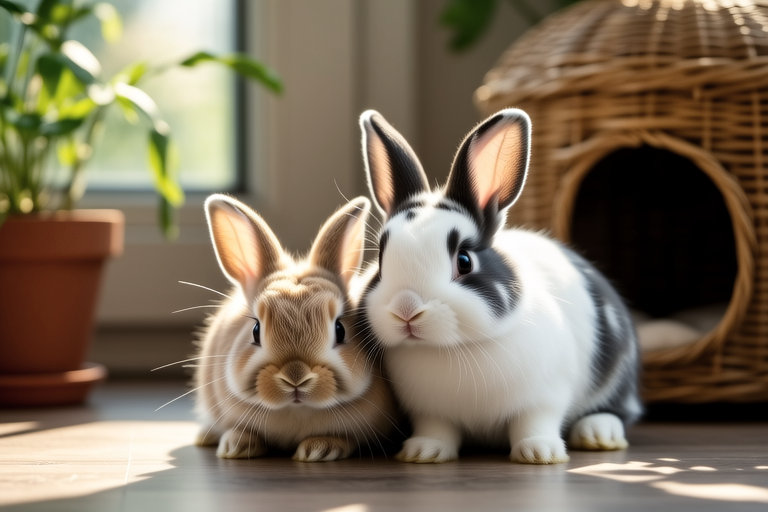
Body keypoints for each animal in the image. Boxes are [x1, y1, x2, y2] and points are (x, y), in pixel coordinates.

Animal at [193, 194, 399, 461]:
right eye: (255, 330)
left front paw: (319, 449)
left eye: (340, 330)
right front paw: (236, 446)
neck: (296, 411)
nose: (296, 377)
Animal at [358, 109, 642, 464]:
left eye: (464, 261)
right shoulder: (429, 411)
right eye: (381, 263)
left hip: (617, 374)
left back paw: (597, 434)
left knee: (618, 411)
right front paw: (423, 452)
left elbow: (534, 423)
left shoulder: (544, 397)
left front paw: (540, 453)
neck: (450, 350)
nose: (406, 310)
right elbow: (437, 429)